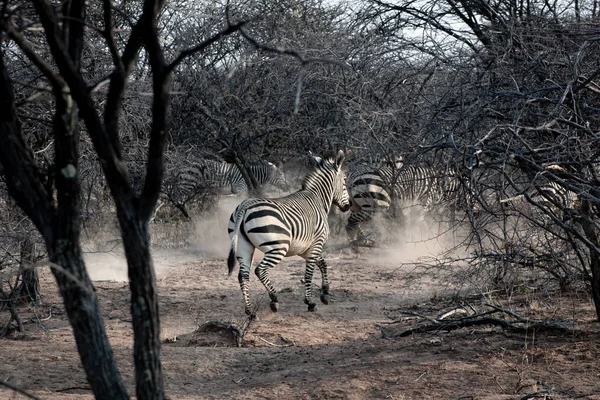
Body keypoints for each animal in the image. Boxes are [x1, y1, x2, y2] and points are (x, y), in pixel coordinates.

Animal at [229, 148, 352, 318]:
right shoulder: (317, 242)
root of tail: (245, 205)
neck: (318, 199)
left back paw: (250, 311)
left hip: (243, 247)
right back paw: (274, 299)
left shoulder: (304, 248)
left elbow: (323, 263)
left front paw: (325, 293)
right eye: (345, 181)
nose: (349, 206)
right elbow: (309, 272)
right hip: (277, 247)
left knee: (243, 275)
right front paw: (310, 302)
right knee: (260, 270)